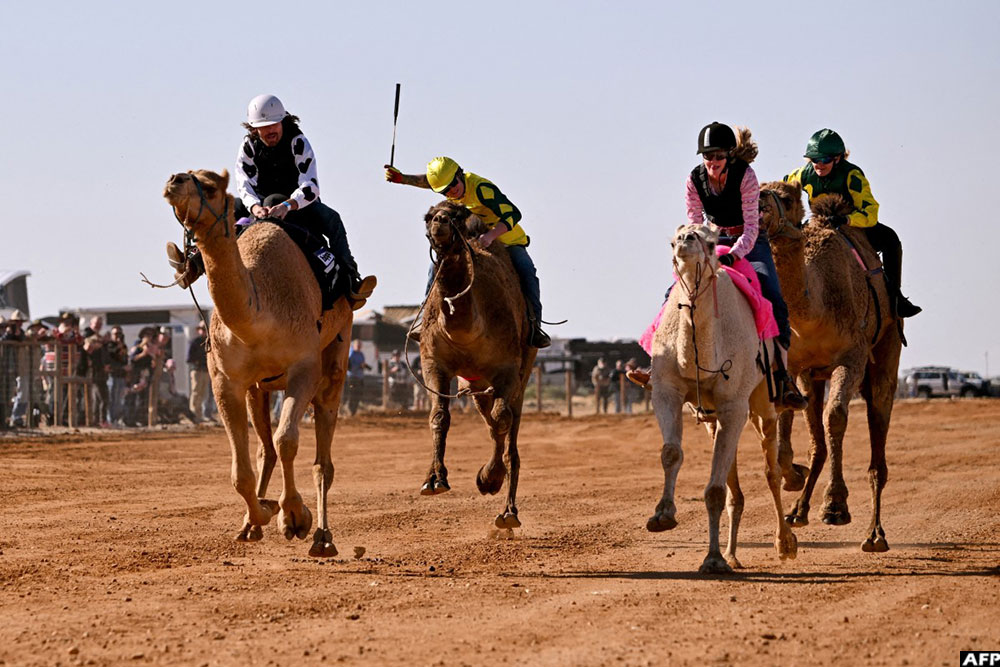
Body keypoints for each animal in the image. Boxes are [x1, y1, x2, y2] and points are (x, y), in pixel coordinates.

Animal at [162, 169, 363, 558]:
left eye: (210, 185)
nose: (174, 180)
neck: (259, 312)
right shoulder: (225, 380)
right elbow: (240, 471)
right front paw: (263, 513)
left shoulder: (304, 368)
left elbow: (288, 441)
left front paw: (295, 518)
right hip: (259, 388)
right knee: (264, 451)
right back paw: (252, 524)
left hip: (336, 356)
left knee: (322, 459)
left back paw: (322, 537)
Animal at [417, 200, 537, 530]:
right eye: (428, 217)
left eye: (456, 215)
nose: (440, 222)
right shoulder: (433, 362)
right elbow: (439, 416)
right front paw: (434, 480)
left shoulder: (507, 368)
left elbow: (502, 419)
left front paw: (489, 478)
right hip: (477, 384)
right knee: (491, 420)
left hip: (522, 373)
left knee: (507, 426)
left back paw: (507, 510)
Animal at [647, 223, 796, 574]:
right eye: (672, 240)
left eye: (713, 243)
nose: (685, 241)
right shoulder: (666, 391)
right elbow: (671, 453)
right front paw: (662, 515)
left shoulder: (733, 406)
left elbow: (715, 489)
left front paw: (713, 560)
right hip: (714, 418)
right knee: (734, 483)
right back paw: (732, 553)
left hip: (763, 403)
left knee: (771, 470)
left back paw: (784, 543)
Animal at [759, 181, 901, 552]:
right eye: (756, 187)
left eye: (788, 196)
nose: (760, 203)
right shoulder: (795, 365)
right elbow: (786, 420)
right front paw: (793, 476)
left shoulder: (851, 358)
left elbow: (835, 417)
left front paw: (835, 507)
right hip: (815, 376)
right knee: (817, 443)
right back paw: (798, 511)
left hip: (886, 350)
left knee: (877, 444)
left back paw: (875, 534)